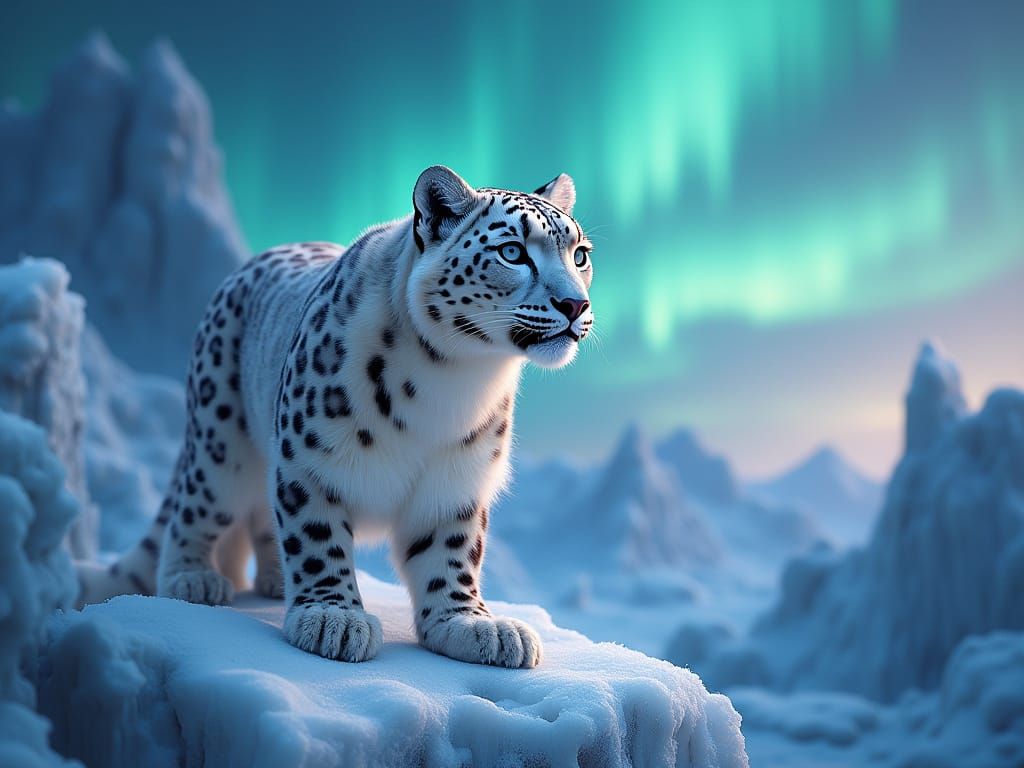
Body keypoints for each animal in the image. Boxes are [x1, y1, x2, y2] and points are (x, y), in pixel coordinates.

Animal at [76, 166, 594, 668]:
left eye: (580, 254)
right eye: (512, 252)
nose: (576, 304)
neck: (455, 382)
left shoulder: (457, 481)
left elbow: (451, 553)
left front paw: (470, 624)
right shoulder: (310, 460)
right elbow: (316, 537)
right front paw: (333, 618)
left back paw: (272, 581)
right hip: (220, 441)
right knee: (196, 503)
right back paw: (193, 578)